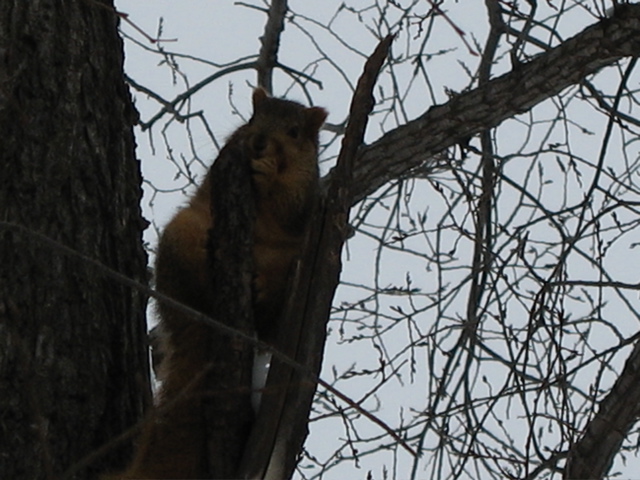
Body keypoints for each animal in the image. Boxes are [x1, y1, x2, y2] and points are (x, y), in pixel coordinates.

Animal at [106, 88, 327, 479]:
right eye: (253, 119)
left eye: (295, 132)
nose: (258, 142)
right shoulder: (225, 161)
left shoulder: (307, 193)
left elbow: (291, 206)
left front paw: (269, 172)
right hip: (182, 234)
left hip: (293, 272)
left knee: (272, 318)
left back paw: (263, 291)